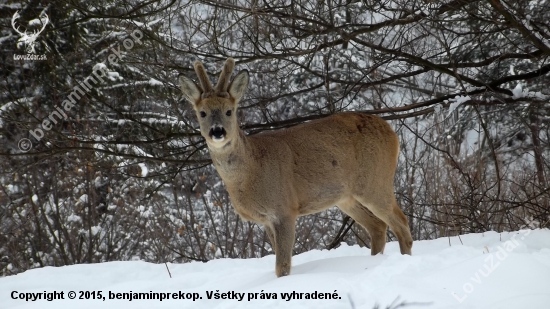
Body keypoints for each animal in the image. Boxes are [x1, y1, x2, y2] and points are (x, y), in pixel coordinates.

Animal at [180, 57, 414, 276]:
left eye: (229, 111)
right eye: (202, 113)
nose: (217, 131)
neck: (251, 171)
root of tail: (392, 132)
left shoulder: (284, 208)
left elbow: (282, 266)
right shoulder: (266, 220)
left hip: (376, 181)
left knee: (401, 223)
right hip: (346, 197)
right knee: (378, 227)